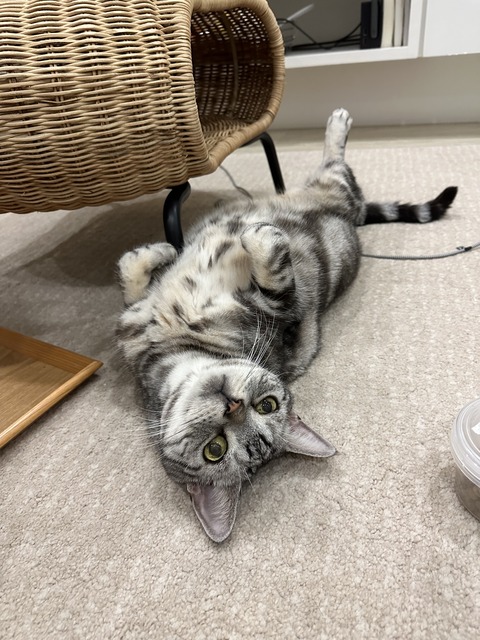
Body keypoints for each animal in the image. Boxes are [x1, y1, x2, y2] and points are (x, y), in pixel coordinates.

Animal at [116, 109, 457, 542]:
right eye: (216, 450)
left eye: (268, 405)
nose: (233, 404)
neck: (182, 348)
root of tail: (354, 218)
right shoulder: (133, 322)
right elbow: (131, 278)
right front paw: (162, 252)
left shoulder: (286, 311)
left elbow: (274, 273)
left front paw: (241, 238)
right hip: (331, 192)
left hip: (333, 190)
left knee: (339, 168)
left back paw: (335, 126)